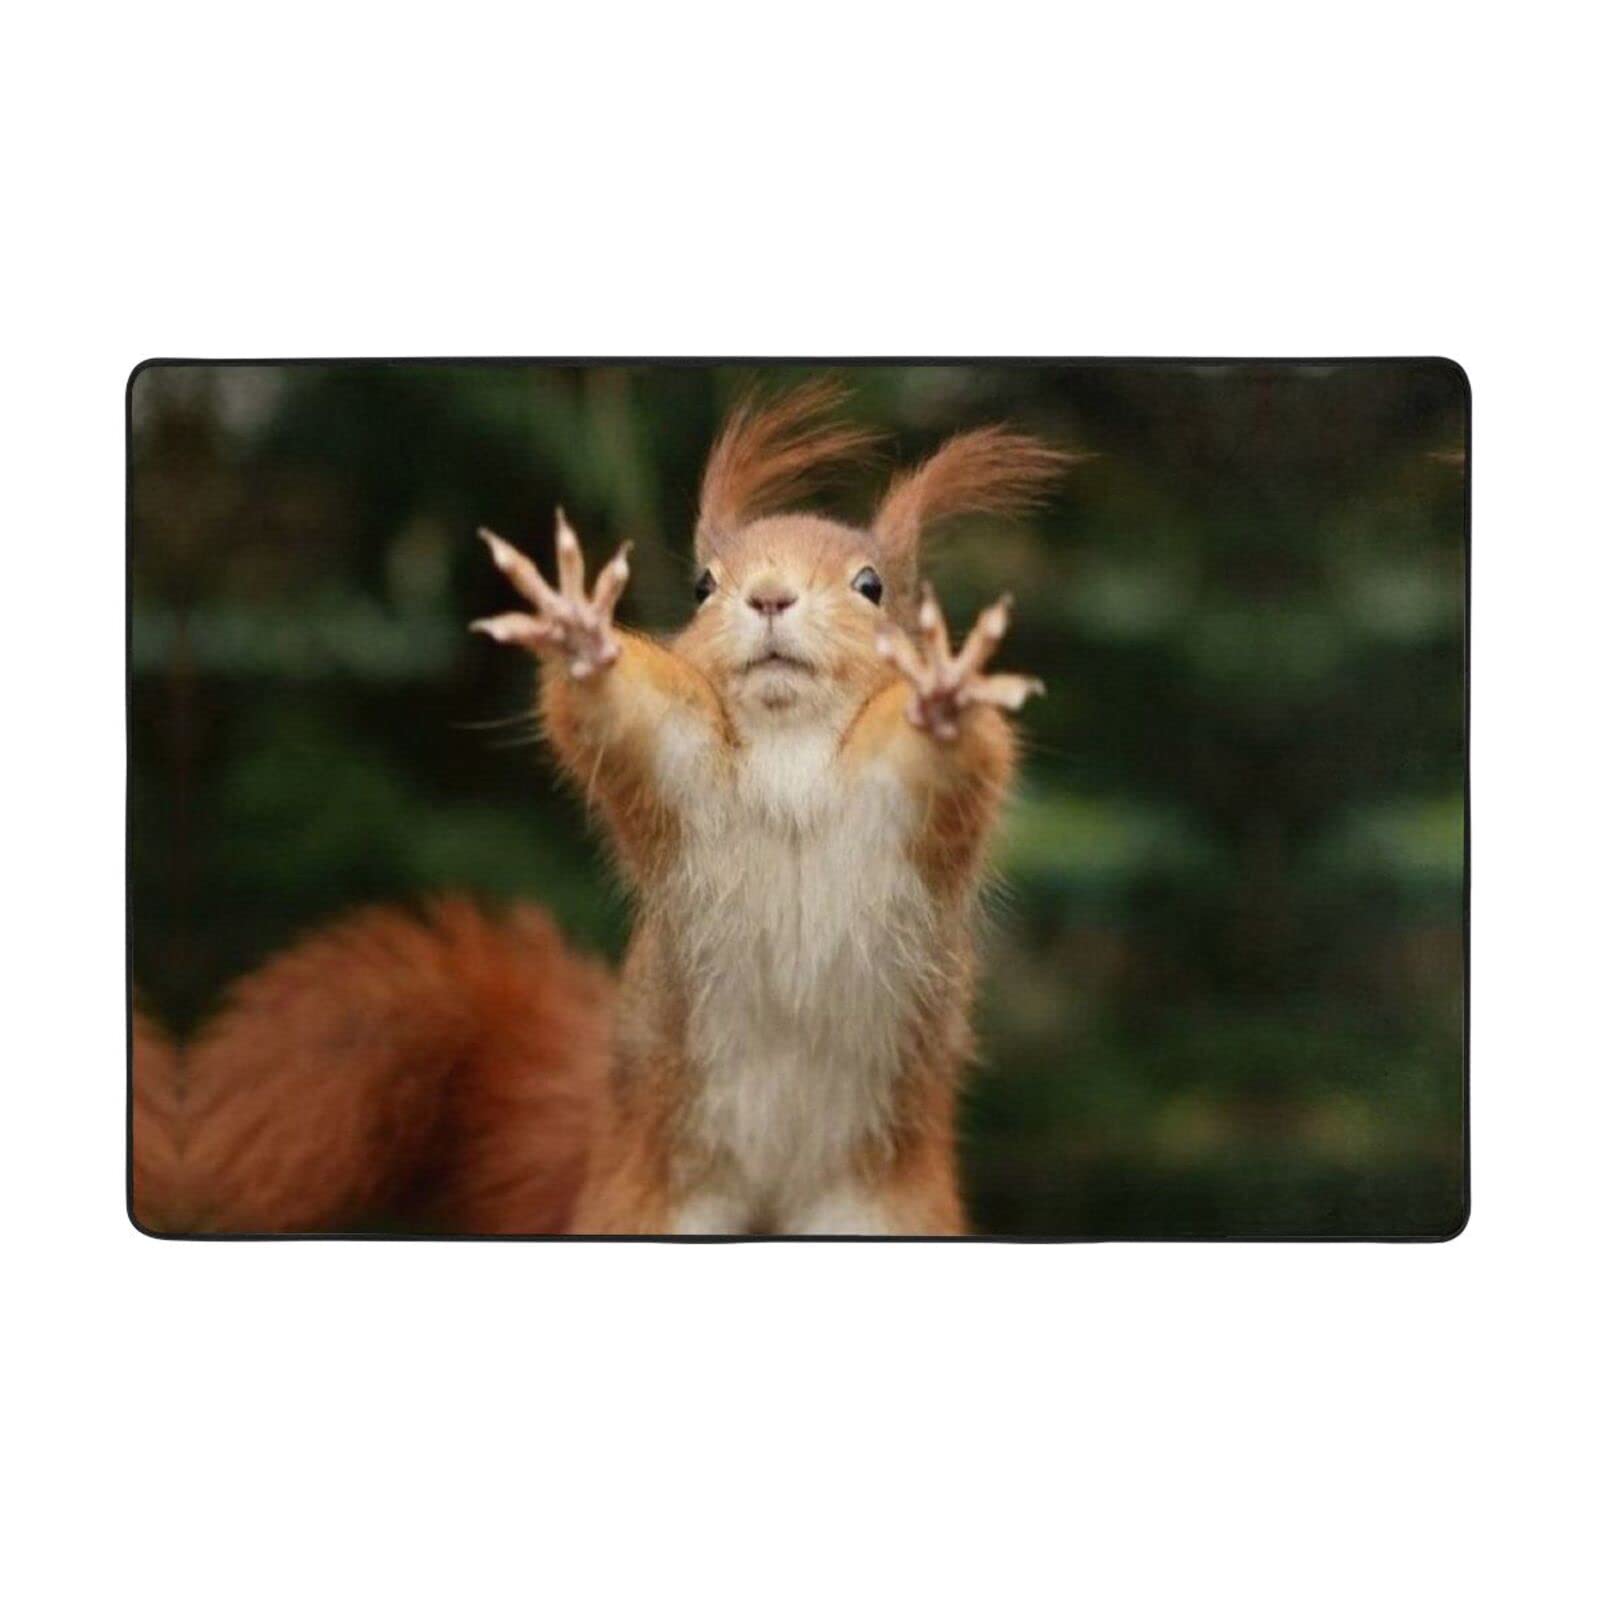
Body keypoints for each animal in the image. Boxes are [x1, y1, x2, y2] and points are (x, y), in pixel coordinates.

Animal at [132, 383, 1069, 1237]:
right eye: (702, 586)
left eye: (871, 586)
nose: (768, 597)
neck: (788, 749)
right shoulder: (680, 770)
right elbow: (628, 717)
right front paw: (582, 635)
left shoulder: (903, 804)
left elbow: (951, 759)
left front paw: (944, 695)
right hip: (648, 1203)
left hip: (884, 1208)